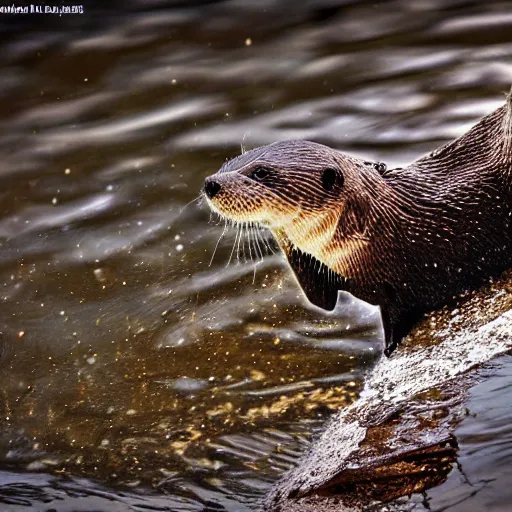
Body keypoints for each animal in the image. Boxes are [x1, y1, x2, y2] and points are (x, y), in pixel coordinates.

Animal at [202, 91, 512, 356]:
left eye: (260, 172)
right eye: (230, 163)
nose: (210, 183)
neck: (378, 230)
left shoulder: (403, 281)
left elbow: (396, 315)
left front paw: (389, 348)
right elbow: (323, 302)